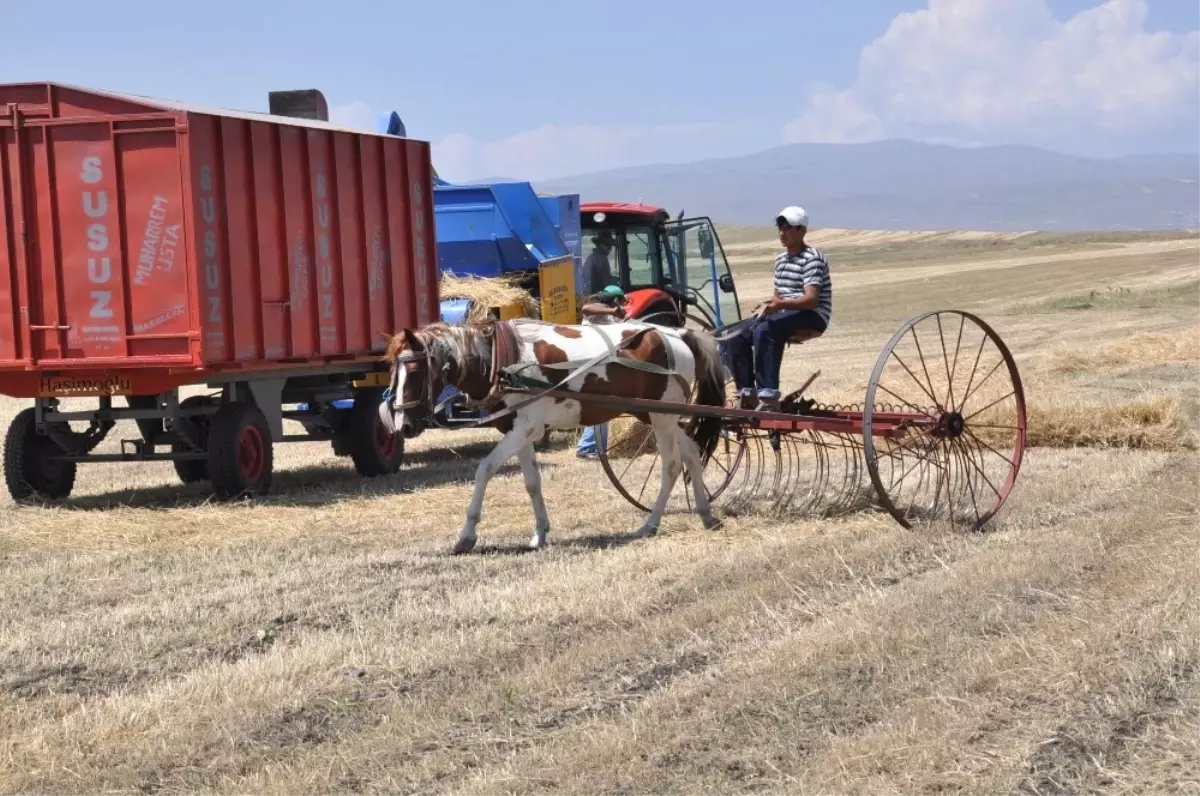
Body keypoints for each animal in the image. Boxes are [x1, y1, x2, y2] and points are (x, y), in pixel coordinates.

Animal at [379, 316, 724, 554]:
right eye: (392, 371)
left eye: (415, 372)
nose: (403, 425)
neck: (502, 361)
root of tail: (679, 334)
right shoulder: (519, 430)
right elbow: (532, 482)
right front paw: (540, 532)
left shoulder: (524, 428)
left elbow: (485, 469)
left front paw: (466, 536)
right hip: (657, 415)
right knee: (691, 452)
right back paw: (707, 515)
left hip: (661, 417)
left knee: (671, 465)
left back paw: (650, 524)